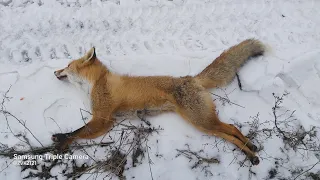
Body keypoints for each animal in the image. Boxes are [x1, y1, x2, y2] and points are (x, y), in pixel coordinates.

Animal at [52, 38, 262, 165]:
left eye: (67, 65)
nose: (54, 71)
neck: (96, 82)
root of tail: (191, 78)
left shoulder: (102, 120)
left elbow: (76, 132)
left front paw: (60, 141)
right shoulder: (104, 122)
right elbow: (78, 131)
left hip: (201, 121)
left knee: (231, 129)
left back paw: (251, 154)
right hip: (204, 122)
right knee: (231, 130)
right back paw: (251, 148)